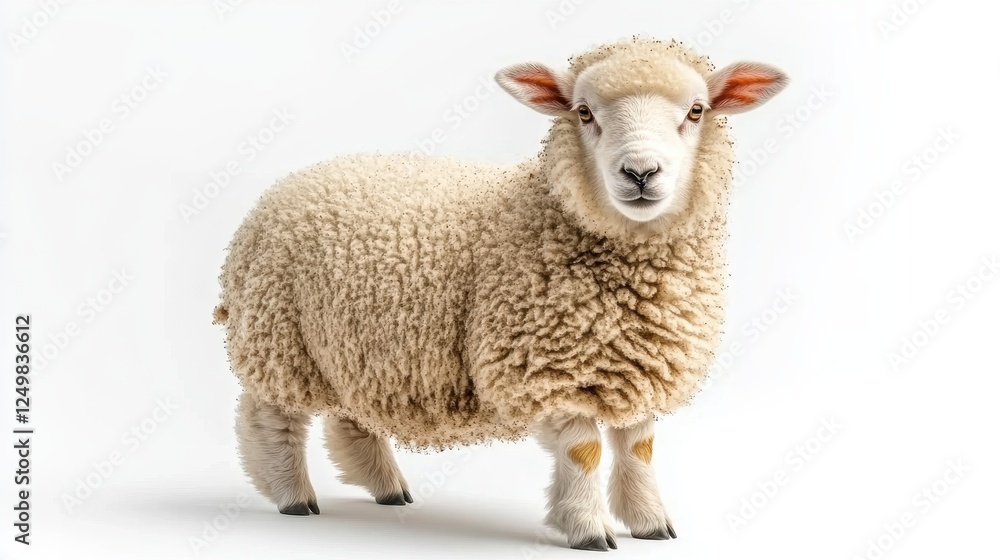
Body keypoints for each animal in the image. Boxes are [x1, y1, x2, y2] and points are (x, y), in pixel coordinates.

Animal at [214, 37, 788, 550]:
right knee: (270, 419)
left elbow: (639, 447)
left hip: (354, 347)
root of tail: (282, 189)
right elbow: (583, 452)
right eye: (583, 113)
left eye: (697, 110)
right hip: (279, 340)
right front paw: (588, 529)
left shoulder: (636, 361)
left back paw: (387, 488)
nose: (641, 173)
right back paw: (292, 495)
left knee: (350, 418)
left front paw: (650, 522)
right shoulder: (550, 365)